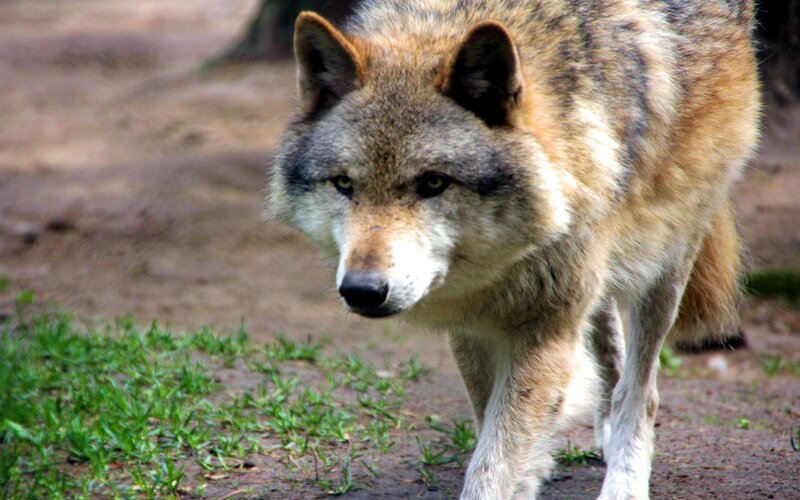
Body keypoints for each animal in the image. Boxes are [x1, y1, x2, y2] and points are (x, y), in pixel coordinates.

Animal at [267, 0, 760, 498]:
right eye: (344, 184)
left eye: (433, 183)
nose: (362, 290)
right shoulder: (474, 326)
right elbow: (492, 429)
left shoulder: (544, 330)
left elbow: (494, 462)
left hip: (665, 263)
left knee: (641, 392)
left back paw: (624, 478)